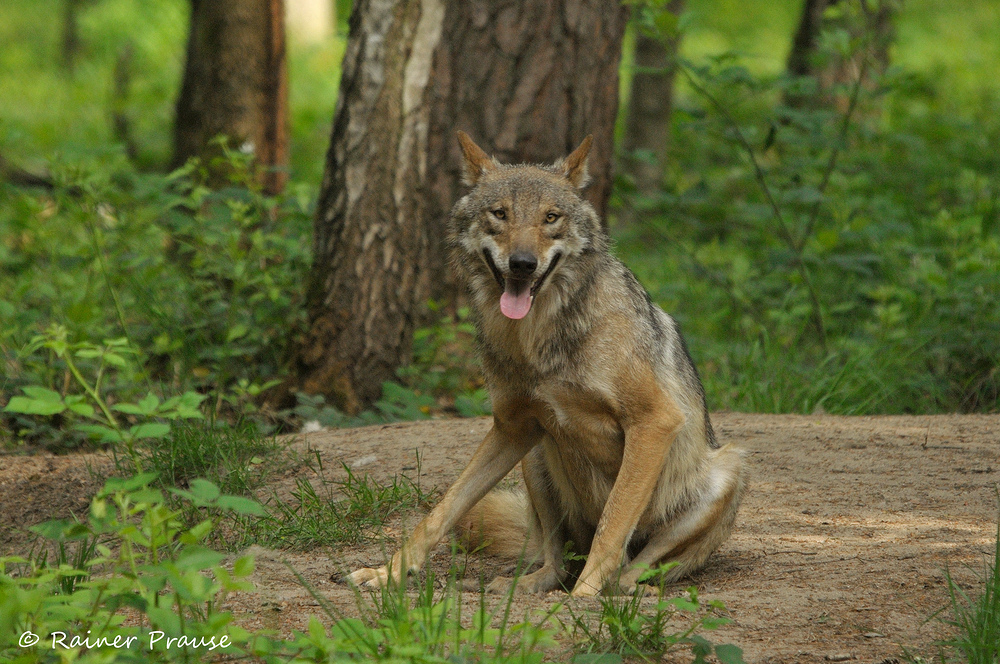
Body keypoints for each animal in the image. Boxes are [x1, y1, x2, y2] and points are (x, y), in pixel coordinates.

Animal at [348, 131, 748, 596]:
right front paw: (387, 573)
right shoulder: (513, 425)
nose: (523, 264)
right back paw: (520, 585)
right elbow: (440, 511)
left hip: (729, 469)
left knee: (631, 566)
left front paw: (585, 596)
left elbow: (613, 525)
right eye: (500, 214)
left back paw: (620, 589)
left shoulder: (654, 421)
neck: (537, 337)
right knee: (555, 562)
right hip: (536, 454)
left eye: (551, 217)